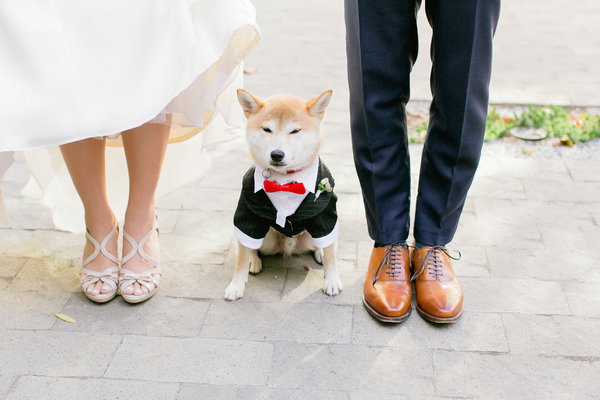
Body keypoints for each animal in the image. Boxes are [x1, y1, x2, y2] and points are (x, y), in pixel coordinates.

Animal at [224, 88, 342, 300]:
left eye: (294, 131)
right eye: (266, 129)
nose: (277, 154)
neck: (285, 182)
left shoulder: (325, 215)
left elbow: (331, 254)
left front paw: (332, 280)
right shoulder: (248, 214)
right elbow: (241, 257)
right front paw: (236, 284)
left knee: (324, 244)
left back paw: (319, 252)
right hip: (267, 238)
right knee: (250, 247)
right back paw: (254, 260)